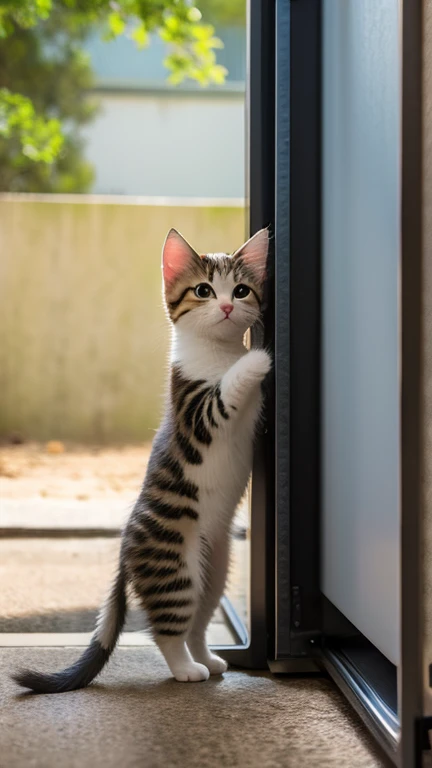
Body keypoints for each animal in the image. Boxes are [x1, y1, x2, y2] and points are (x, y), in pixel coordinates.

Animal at [14, 226, 270, 688]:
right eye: (204, 291)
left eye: (241, 291)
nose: (226, 307)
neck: (217, 354)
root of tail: (124, 543)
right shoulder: (196, 413)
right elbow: (227, 389)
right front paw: (258, 359)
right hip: (175, 568)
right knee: (169, 631)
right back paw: (186, 670)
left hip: (215, 568)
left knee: (198, 623)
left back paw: (208, 659)